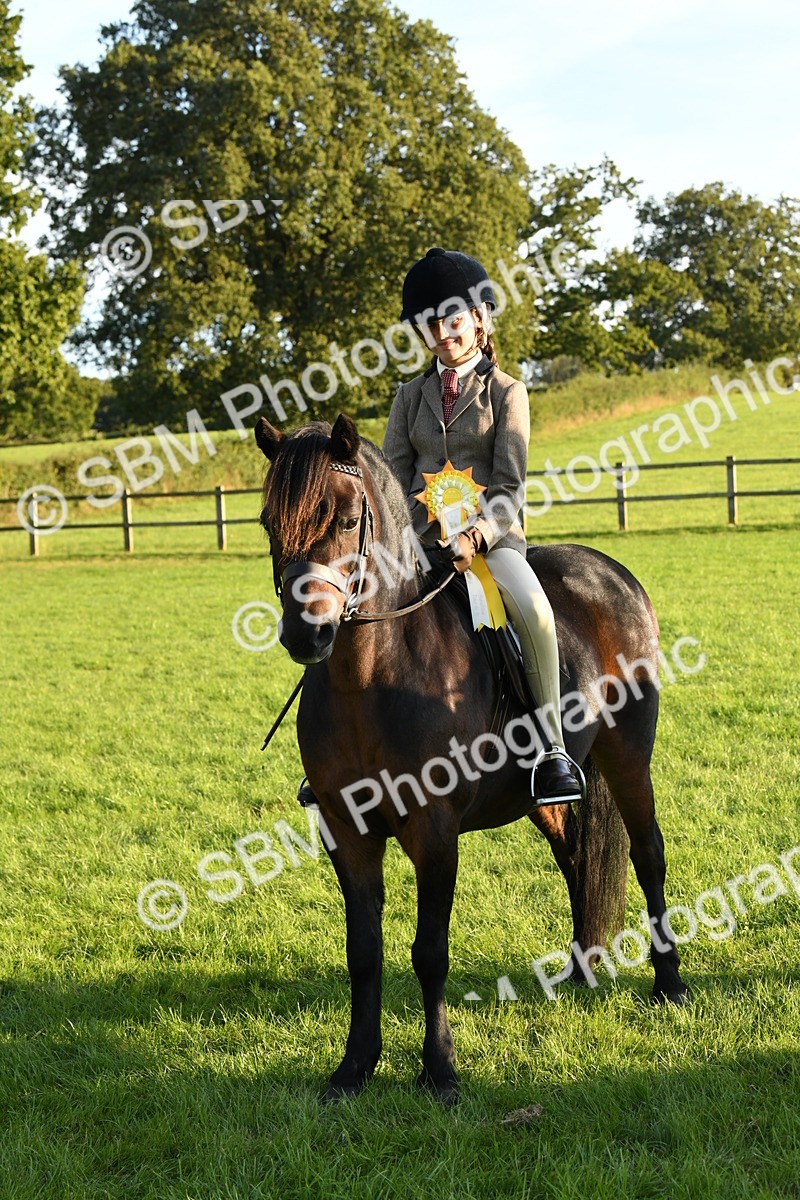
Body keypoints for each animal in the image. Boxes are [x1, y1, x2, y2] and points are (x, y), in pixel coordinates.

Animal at [255, 412, 688, 1102]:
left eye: (346, 520)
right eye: (270, 523)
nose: (306, 635)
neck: (369, 679)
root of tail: (612, 572)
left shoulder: (434, 833)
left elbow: (429, 950)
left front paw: (439, 1070)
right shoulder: (346, 832)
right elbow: (363, 951)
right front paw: (355, 1068)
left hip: (628, 757)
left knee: (648, 854)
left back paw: (668, 983)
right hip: (546, 795)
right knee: (575, 858)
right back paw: (581, 968)